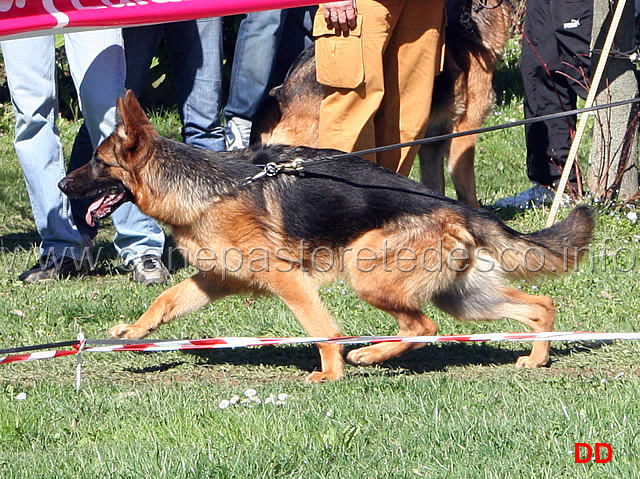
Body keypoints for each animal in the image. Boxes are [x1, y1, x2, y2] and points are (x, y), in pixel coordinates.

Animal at [57, 91, 592, 382]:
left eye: (98, 164)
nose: (62, 186)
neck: (207, 187)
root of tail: (455, 205)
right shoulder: (217, 279)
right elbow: (165, 301)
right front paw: (132, 333)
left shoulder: (287, 280)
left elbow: (320, 328)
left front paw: (331, 372)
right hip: (463, 298)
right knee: (539, 305)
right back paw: (537, 357)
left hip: (368, 274)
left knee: (423, 328)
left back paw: (370, 353)